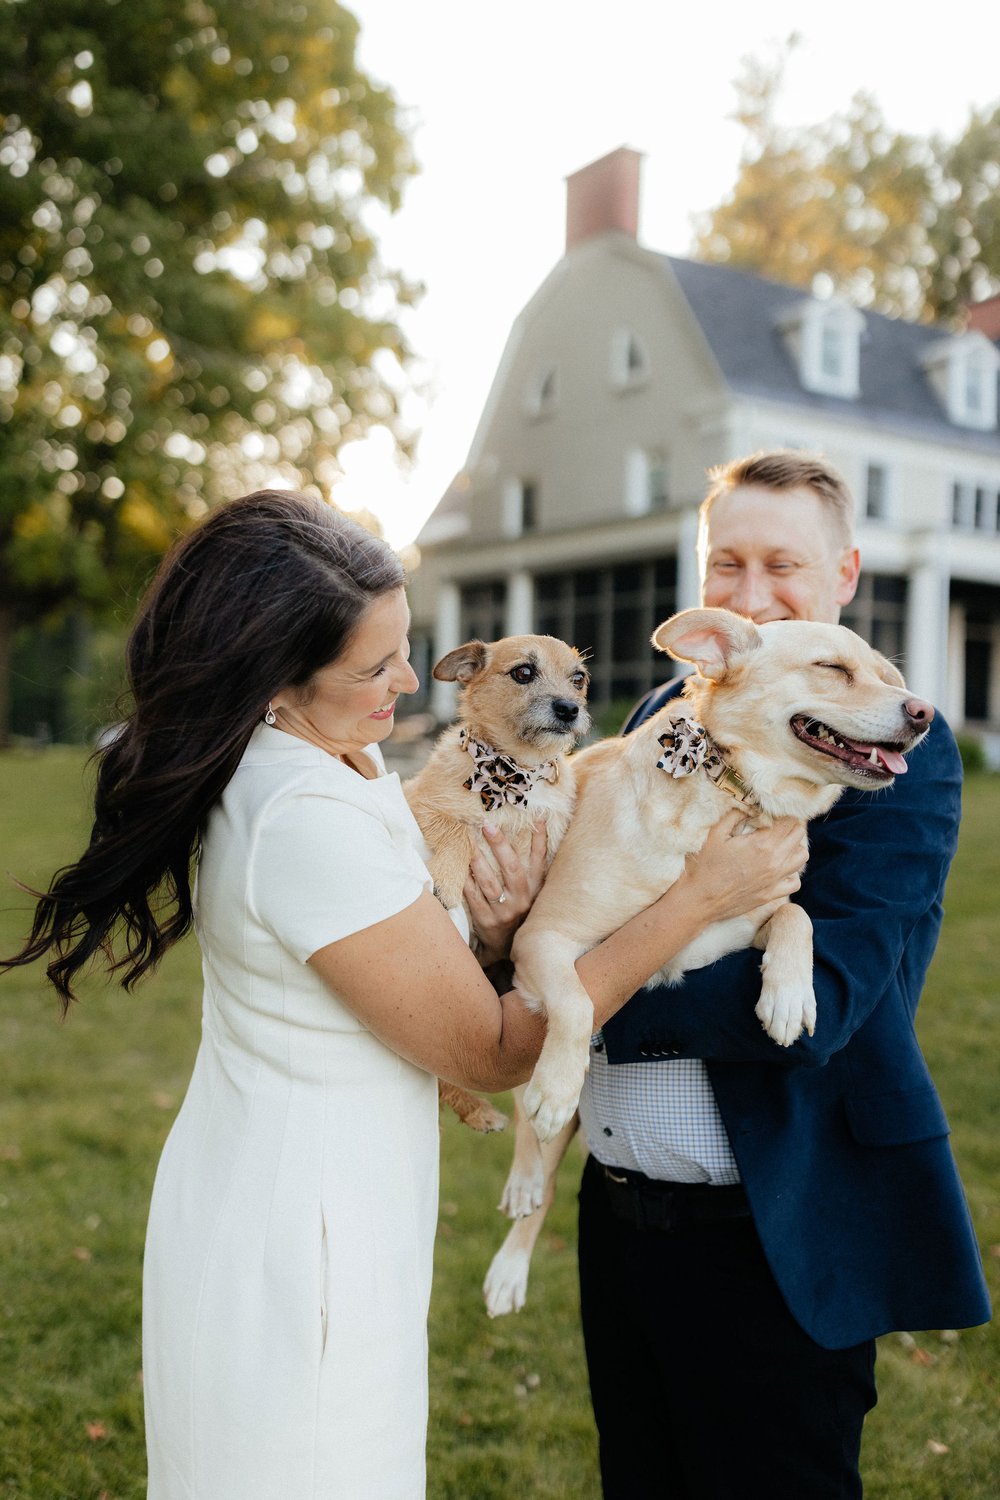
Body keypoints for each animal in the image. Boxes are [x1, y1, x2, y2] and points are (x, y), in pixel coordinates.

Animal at [401, 627, 590, 1128]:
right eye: (523, 672)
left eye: (579, 678)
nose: (570, 708)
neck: (515, 774)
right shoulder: (418, 803)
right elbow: (461, 830)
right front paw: (446, 880)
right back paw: (477, 1111)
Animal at [479, 606, 935, 1314]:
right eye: (833, 668)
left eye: (892, 679)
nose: (925, 714)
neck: (732, 795)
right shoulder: (544, 939)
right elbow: (578, 1006)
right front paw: (556, 1086)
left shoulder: (746, 922)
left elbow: (798, 917)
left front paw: (788, 995)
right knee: (539, 1148)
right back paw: (518, 1223)